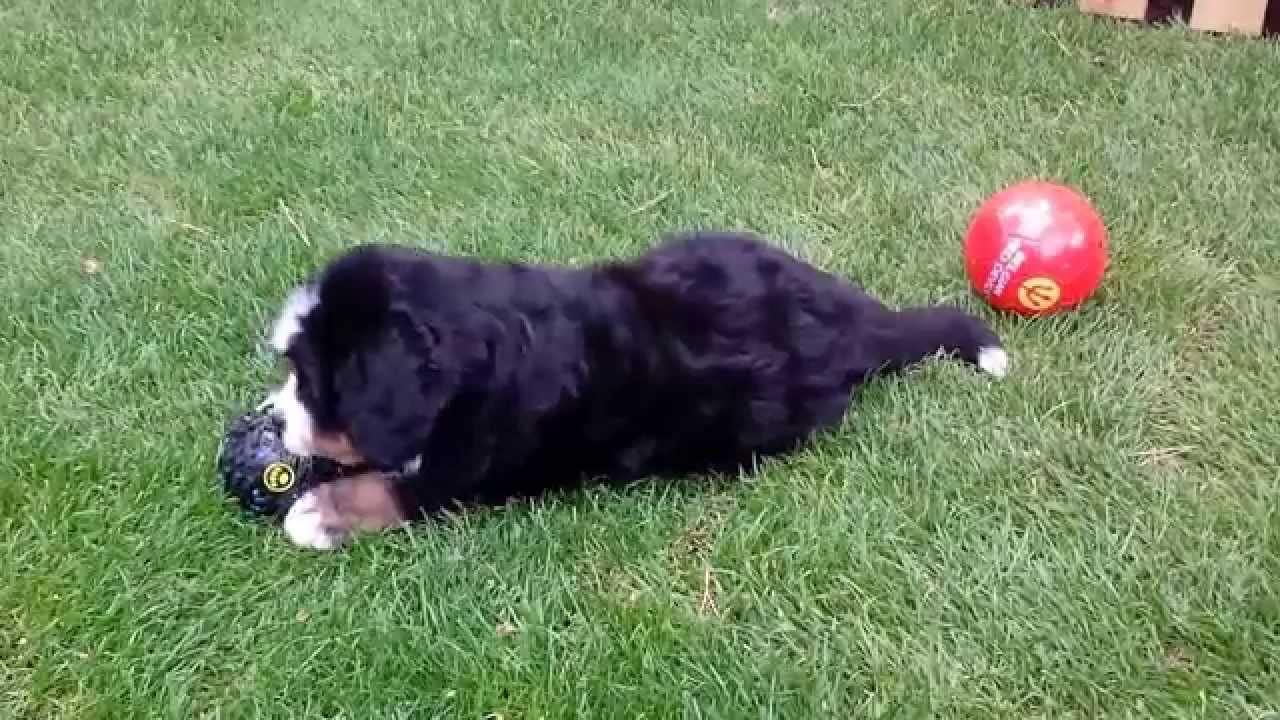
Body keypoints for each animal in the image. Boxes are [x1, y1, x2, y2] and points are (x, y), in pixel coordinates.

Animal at [262, 233, 1008, 545]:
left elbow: (394, 489)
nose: (272, 420)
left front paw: (319, 513)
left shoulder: (468, 472)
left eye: (313, 382)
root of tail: (853, 324)